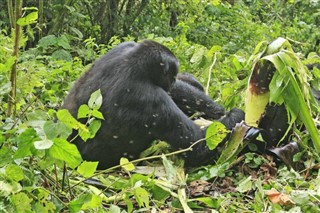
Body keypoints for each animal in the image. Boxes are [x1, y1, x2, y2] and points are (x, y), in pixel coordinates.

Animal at [62, 40, 242, 169]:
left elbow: (180, 91)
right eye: (172, 75)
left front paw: (217, 110)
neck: (133, 63)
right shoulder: (152, 100)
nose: (172, 81)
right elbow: (197, 145)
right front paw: (237, 115)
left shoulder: (123, 47)